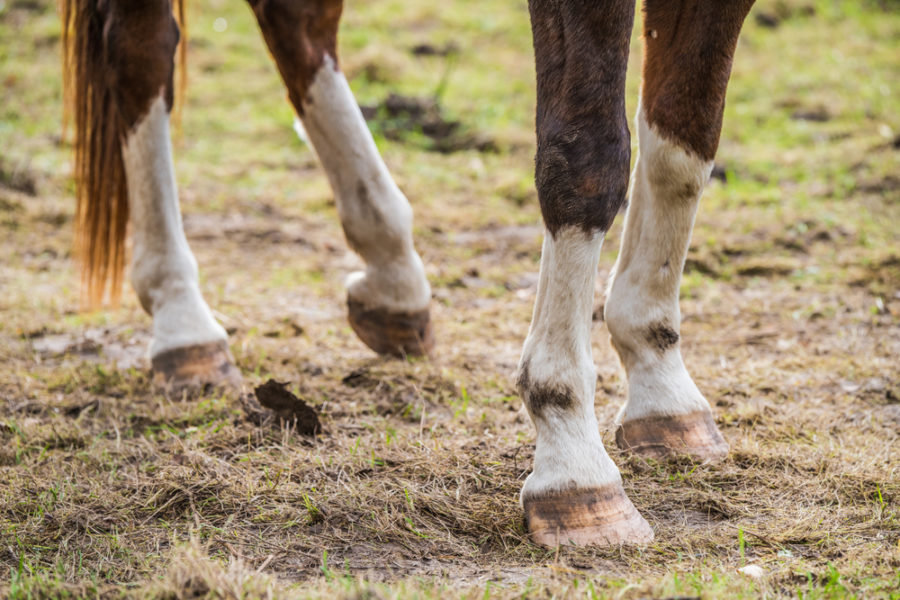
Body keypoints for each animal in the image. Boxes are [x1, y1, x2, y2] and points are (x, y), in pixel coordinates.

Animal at [59, 0, 756, 548]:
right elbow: (588, 155)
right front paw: (573, 458)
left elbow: (684, 142)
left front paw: (661, 382)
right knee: (139, 44)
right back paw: (183, 321)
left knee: (293, 19)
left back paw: (393, 275)